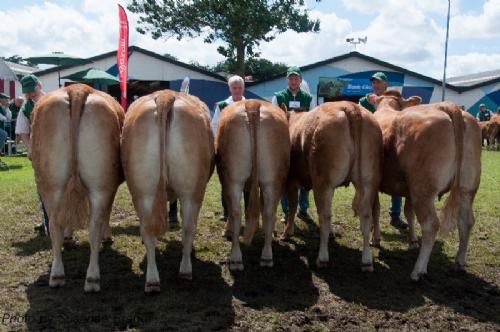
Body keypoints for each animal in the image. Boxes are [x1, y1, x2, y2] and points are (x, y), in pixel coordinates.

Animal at [30, 84, 123, 292]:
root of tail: (77, 89)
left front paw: (69, 237)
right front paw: (107, 237)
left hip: (52, 185)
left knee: (56, 224)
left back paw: (59, 275)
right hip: (98, 185)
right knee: (90, 225)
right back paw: (90, 278)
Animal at [123, 89, 215, 292]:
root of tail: (165, 95)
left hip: (142, 191)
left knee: (147, 229)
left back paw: (152, 280)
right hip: (192, 191)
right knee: (188, 227)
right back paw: (185, 271)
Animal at [217, 98, 292, 270]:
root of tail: (253, 105)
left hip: (232, 179)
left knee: (236, 213)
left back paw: (236, 258)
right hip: (271, 180)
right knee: (269, 212)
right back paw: (266, 256)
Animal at [282, 102, 382, 272]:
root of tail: (350, 107)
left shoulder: (291, 180)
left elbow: (293, 207)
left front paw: (287, 232)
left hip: (323, 182)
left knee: (324, 216)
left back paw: (322, 258)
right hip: (368, 181)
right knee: (366, 216)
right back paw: (367, 261)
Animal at [372, 90, 480, 280]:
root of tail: (447, 105)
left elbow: (376, 210)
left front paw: (375, 239)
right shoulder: (408, 189)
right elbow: (409, 213)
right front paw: (413, 241)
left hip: (423, 189)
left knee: (431, 224)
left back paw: (418, 271)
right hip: (467, 188)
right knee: (466, 221)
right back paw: (459, 262)